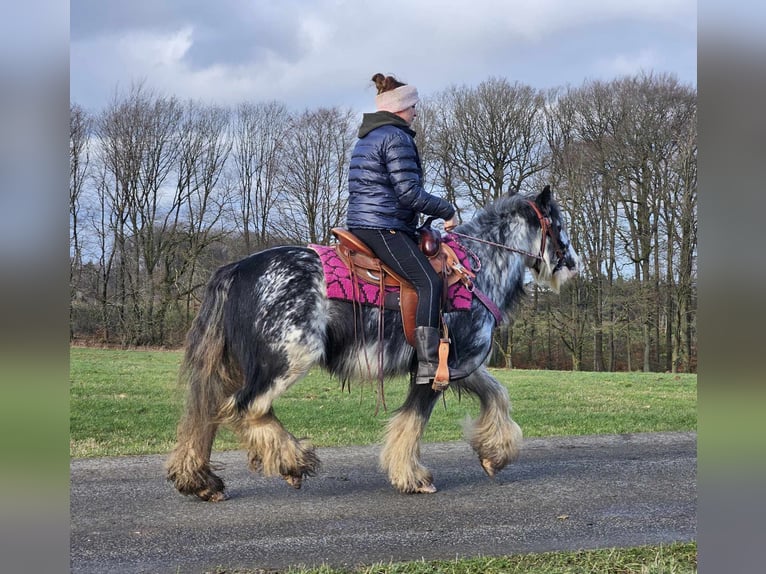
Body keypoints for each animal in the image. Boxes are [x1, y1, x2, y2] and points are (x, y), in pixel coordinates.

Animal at [166, 187, 576, 502]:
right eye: (558, 224)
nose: (572, 264)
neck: (475, 271)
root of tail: (236, 270)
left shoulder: (461, 364)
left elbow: (497, 395)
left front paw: (495, 454)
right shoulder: (434, 370)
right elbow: (412, 421)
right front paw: (412, 477)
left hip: (236, 367)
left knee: (204, 416)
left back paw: (202, 482)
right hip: (286, 361)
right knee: (246, 408)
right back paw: (293, 461)